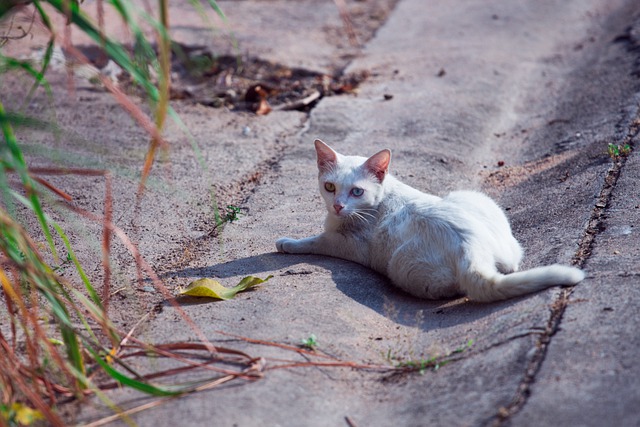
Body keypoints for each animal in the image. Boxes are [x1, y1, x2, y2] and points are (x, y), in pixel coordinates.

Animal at [276, 140, 584, 300]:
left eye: (357, 191)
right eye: (329, 187)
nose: (338, 206)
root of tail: (471, 246)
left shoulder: (347, 244)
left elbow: (317, 241)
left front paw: (288, 243)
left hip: (399, 264)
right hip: (475, 203)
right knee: (511, 263)